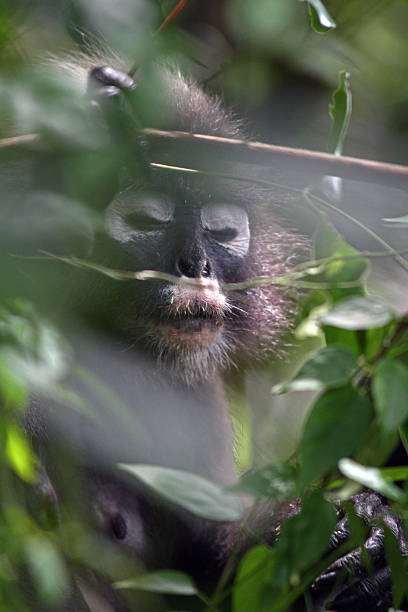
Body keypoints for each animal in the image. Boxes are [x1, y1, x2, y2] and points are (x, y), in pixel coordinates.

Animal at [19, 57, 408, 612]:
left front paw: (368, 538)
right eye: (146, 221)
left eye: (222, 231)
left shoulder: (187, 389)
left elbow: (207, 571)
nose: (196, 264)